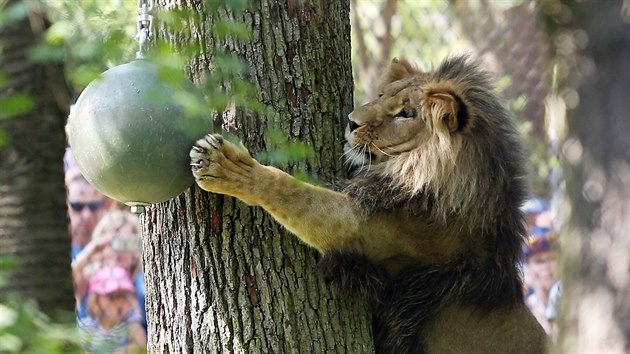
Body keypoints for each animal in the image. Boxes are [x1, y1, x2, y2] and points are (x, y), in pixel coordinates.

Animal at [189, 56, 548, 354]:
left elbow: (293, 191)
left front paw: (229, 167)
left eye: (407, 114)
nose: (351, 122)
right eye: (380, 95)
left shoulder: (373, 227)